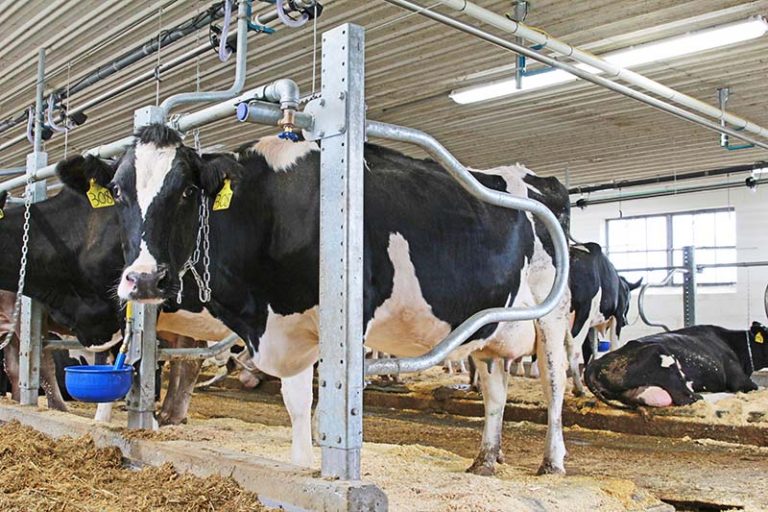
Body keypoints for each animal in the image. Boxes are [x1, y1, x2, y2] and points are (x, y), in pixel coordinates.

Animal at [60, 124, 573, 476]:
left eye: (187, 190)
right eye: (119, 191)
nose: (144, 280)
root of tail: (536, 176)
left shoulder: (340, 318)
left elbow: (318, 400)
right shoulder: (286, 325)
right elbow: (294, 401)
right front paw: (302, 462)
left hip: (552, 315)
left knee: (554, 385)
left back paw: (552, 461)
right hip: (491, 327)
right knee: (495, 390)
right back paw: (485, 459)